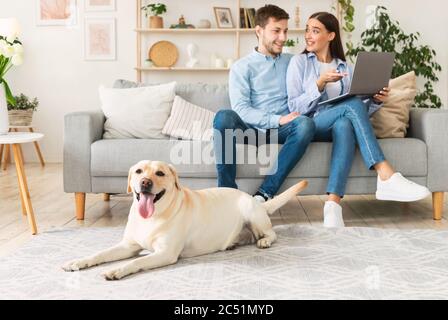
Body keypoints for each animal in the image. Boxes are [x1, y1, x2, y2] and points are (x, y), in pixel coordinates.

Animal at [63, 160, 308, 280]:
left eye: (160, 173)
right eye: (139, 171)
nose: (145, 182)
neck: (153, 217)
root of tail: (254, 200)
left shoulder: (165, 253)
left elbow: (136, 262)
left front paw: (117, 270)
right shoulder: (128, 245)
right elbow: (100, 254)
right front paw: (78, 262)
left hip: (251, 213)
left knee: (271, 233)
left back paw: (264, 240)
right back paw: (233, 243)